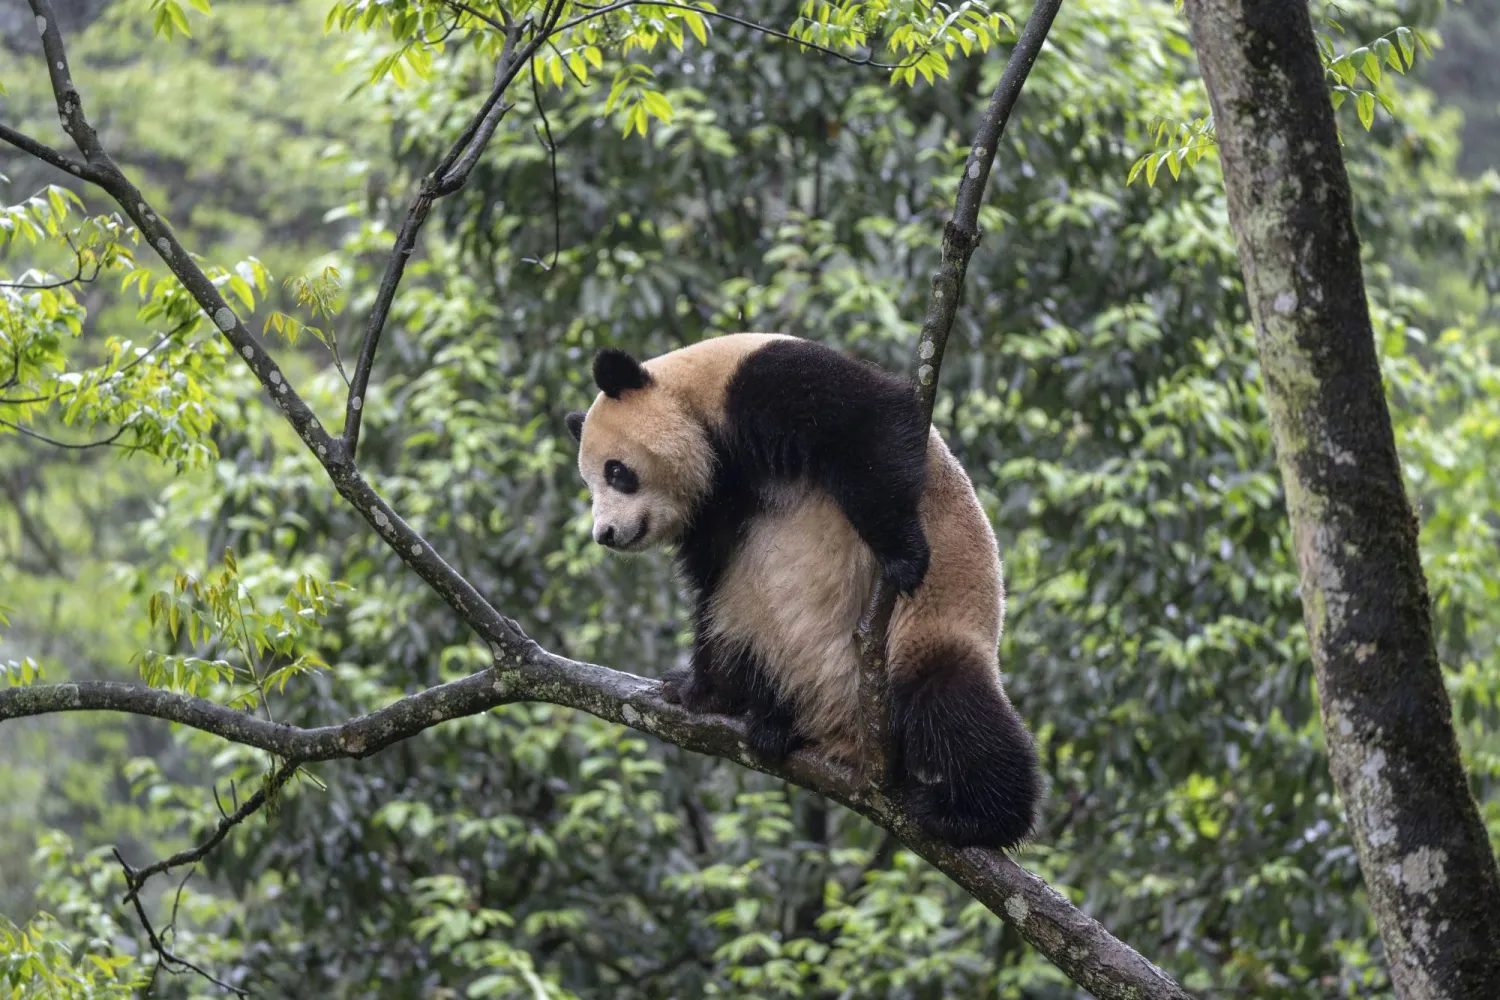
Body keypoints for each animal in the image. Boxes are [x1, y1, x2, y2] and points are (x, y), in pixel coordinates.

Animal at [564, 333, 1040, 849]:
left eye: (616, 472)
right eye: (590, 484)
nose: (606, 534)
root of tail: (850, 739)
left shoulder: (761, 383)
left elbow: (870, 425)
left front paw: (903, 554)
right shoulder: (716, 510)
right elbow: (711, 590)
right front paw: (695, 690)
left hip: (925, 631)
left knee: (954, 705)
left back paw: (973, 816)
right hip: (768, 638)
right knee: (742, 635)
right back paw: (768, 720)